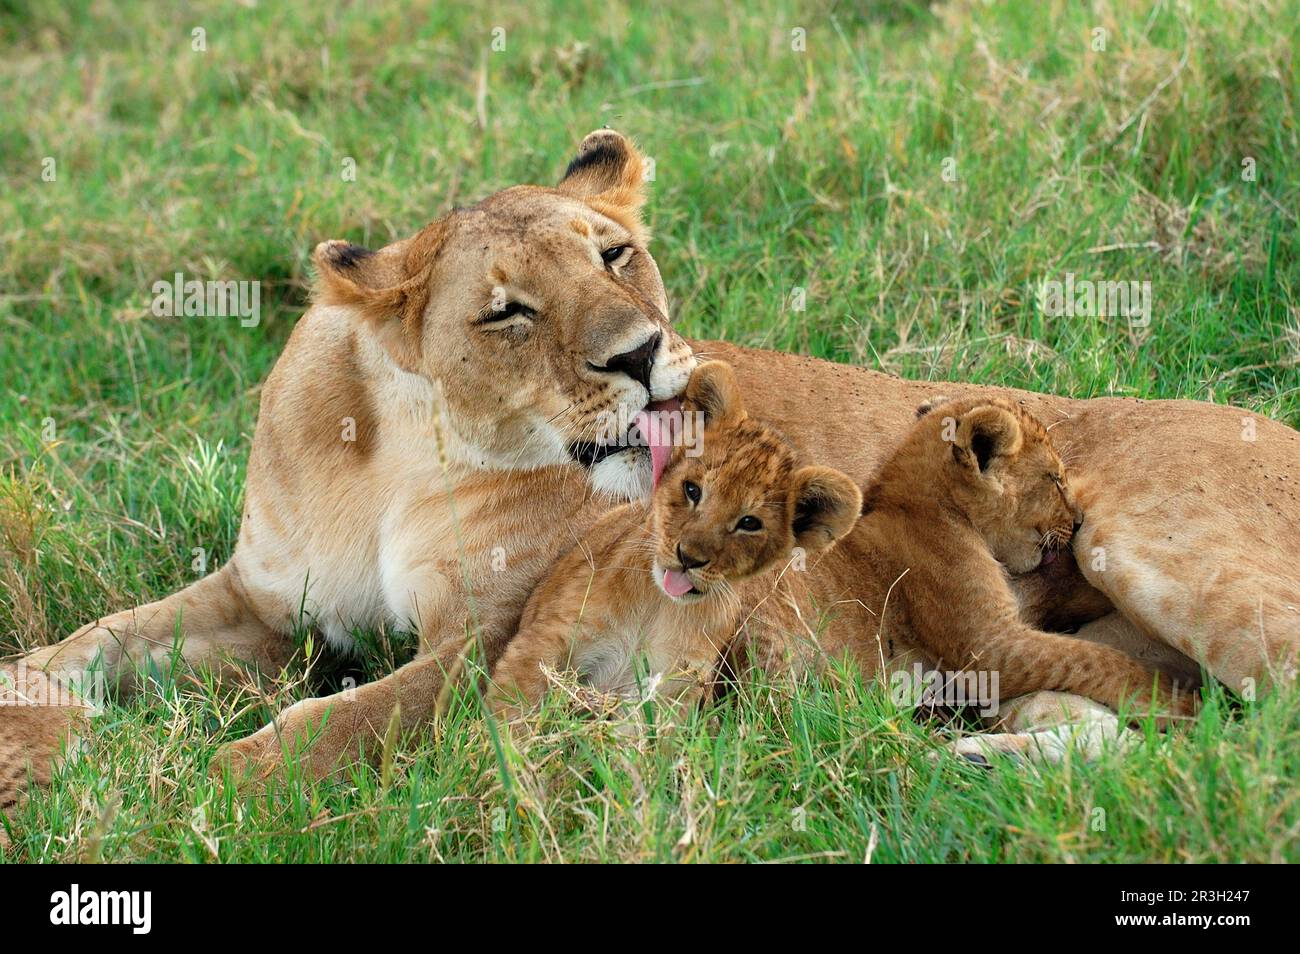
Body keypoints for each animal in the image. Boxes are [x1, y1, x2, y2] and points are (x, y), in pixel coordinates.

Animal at [3, 129, 1297, 804]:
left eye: (615, 253)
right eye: (508, 312)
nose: (640, 356)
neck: (403, 447)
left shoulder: (479, 641)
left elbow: (328, 727)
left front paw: (166, 787)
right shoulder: (266, 602)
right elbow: (92, 643)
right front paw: (38, 721)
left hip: (1149, 549)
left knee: (1251, 725)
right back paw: (966, 753)